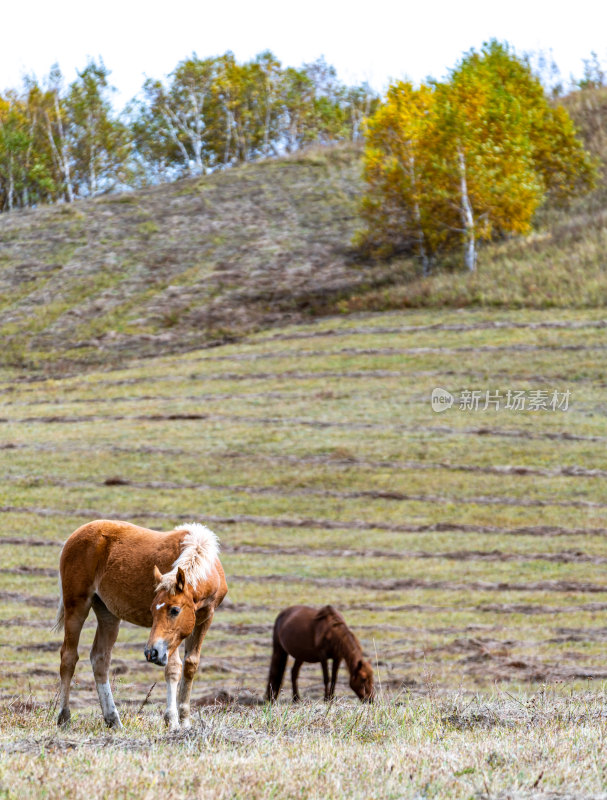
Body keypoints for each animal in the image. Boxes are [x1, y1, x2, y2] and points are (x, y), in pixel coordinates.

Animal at [52, 520, 227, 732]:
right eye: (151, 610)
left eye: (175, 610)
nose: (152, 653)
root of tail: (74, 537)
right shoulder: (171, 640)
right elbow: (173, 668)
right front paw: (172, 721)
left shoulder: (204, 618)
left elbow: (190, 664)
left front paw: (185, 721)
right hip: (77, 605)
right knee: (69, 656)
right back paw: (64, 717)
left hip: (108, 614)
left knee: (100, 658)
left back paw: (113, 720)